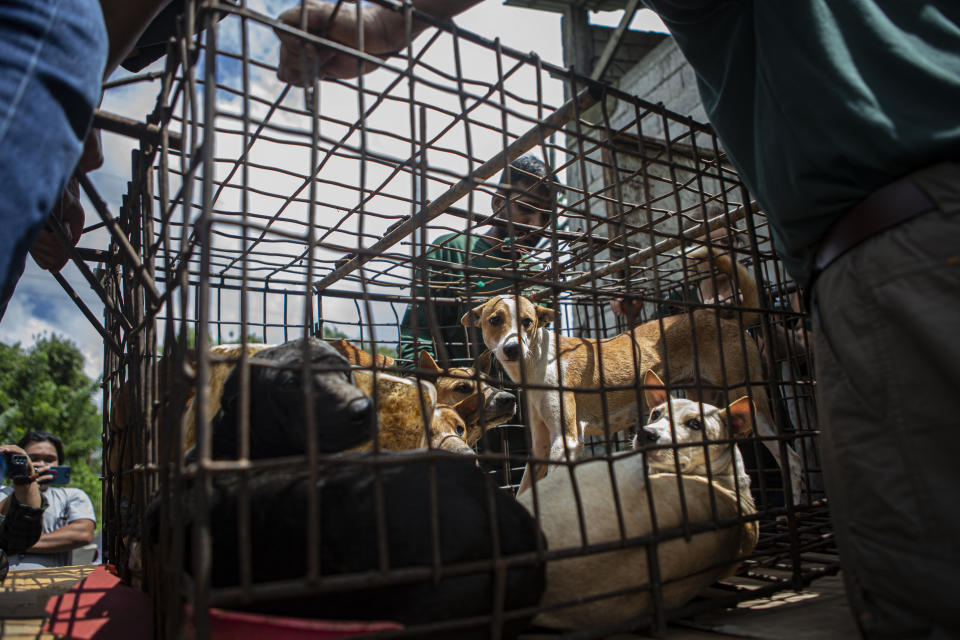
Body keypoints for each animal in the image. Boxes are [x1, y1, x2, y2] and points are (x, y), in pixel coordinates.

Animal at [464, 249, 804, 496]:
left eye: (527, 322)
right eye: (495, 320)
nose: (512, 349)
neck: (537, 360)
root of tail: (727, 318)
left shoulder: (567, 441)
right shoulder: (542, 446)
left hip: (750, 399)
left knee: (793, 461)